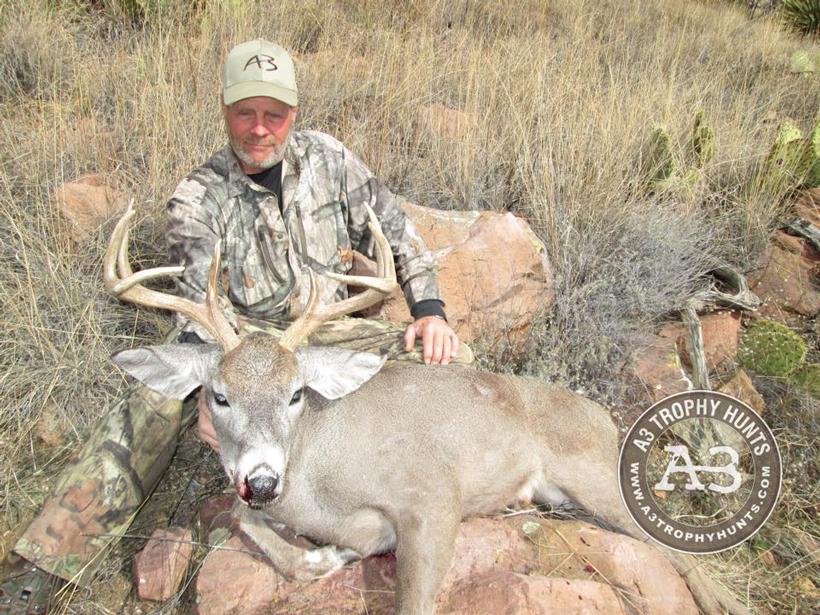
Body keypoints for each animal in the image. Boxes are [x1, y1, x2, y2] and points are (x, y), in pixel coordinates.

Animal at [104, 204, 748, 615]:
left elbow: (413, 599)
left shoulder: (432, 495)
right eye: (218, 395)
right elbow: (243, 521)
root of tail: (606, 418)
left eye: (295, 393)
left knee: (677, 550)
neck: (317, 477)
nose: (261, 480)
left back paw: (728, 603)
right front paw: (324, 557)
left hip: (596, 476)